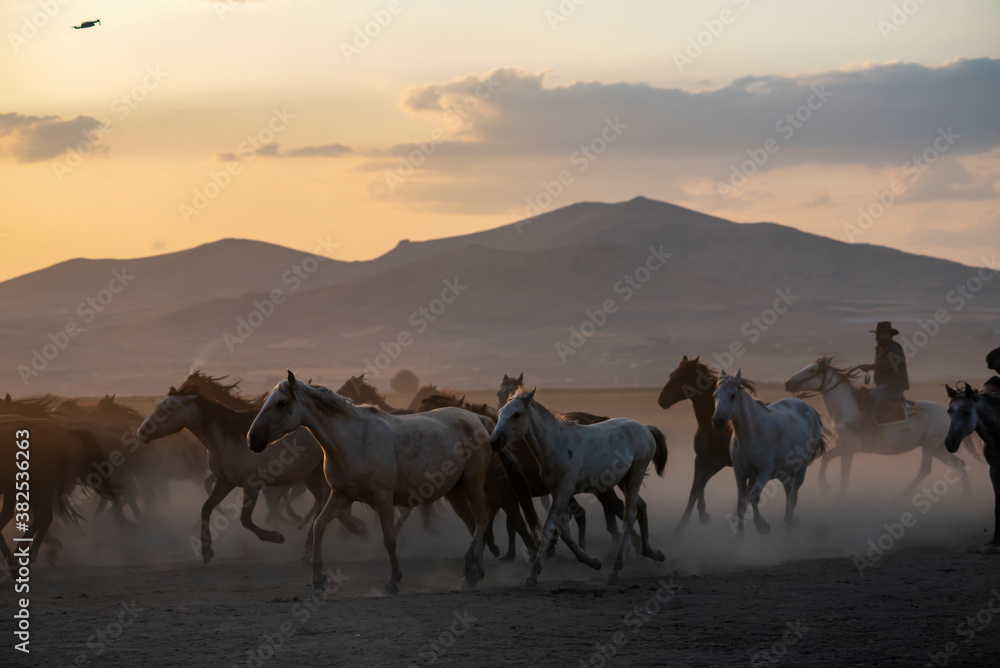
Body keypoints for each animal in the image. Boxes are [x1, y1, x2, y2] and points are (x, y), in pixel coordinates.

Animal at [248, 370, 498, 596]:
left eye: (282, 402)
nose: (253, 439)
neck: (353, 441)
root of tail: (477, 419)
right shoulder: (341, 495)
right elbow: (319, 525)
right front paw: (318, 580)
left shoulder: (383, 498)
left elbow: (389, 538)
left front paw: (392, 582)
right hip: (455, 492)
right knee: (473, 523)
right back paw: (475, 573)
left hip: (472, 484)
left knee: (482, 518)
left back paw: (470, 568)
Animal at [488, 386, 668, 584]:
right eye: (500, 413)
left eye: (516, 414)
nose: (494, 441)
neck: (558, 445)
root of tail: (645, 427)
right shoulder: (558, 492)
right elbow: (564, 530)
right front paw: (593, 562)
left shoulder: (563, 490)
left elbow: (549, 527)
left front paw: (533, 575)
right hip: (624, 480)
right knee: (641, 507)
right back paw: (652, 552)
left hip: (636, 474)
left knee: (629, 515)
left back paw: (616, 569)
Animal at [656, 354, 736, 532]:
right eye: (670, 375)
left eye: (681, 377)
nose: (661, 400)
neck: (711, 427)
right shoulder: (700, 459)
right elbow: (696, 486)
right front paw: (703, 515)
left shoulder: (719, 462)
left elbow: (697, 488)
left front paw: (680, 527)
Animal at [712, 368, 828, 536]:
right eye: (715, 395)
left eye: (733, 395)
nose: (717, 421)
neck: (752, 433)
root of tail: (810, 410)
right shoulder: (740, 473)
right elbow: (741, 502)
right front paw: (740, 533)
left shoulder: (764, 473)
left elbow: (754, 496)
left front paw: (762, 525)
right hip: (783, 472)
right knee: (788, 490)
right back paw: (787, 519)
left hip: (801, 469)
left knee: (793, 495)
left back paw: (790, 524)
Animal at [784, 360, 972, 496]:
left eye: (812, 371)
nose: (788, 383)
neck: (846, 407)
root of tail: (949, 413)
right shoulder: (848, 451)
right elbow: (844, 475)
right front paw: (840, 496)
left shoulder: (849, 446)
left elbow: (826, 458)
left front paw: (825, 487)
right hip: (939, 448)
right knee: (960, 464)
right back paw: (966, 496)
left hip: (930, 446)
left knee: (925, 470)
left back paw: (902, 495)